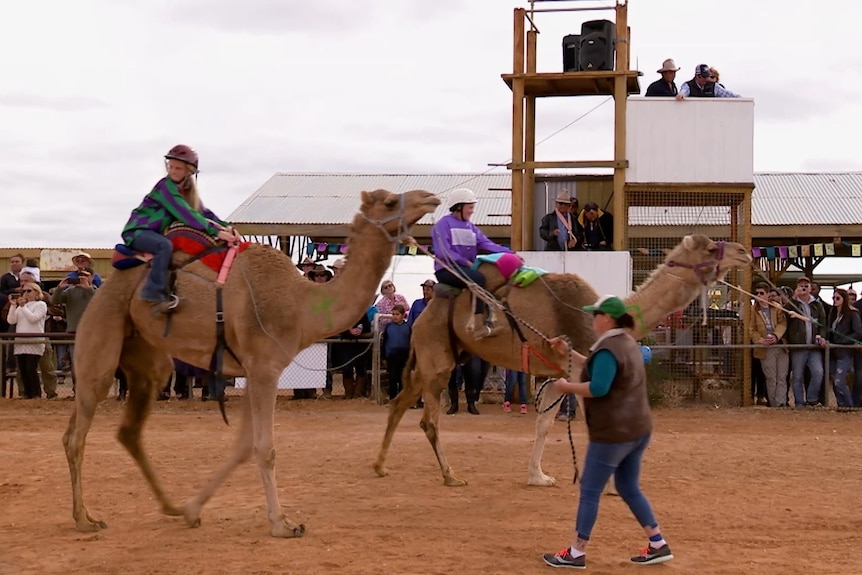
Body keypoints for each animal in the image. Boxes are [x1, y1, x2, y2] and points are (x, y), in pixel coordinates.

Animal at [374, 234, 752, 486]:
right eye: (710, 248)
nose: (745, 252)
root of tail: (419, 318)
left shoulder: (555, 374)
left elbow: (543, 424)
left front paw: (538, 476)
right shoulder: (585, 365)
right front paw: (600, 482)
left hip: (430, 357)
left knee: (398, 402)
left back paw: (380, 466)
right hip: (437, 358)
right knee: (428, 420)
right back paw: (451, 475)